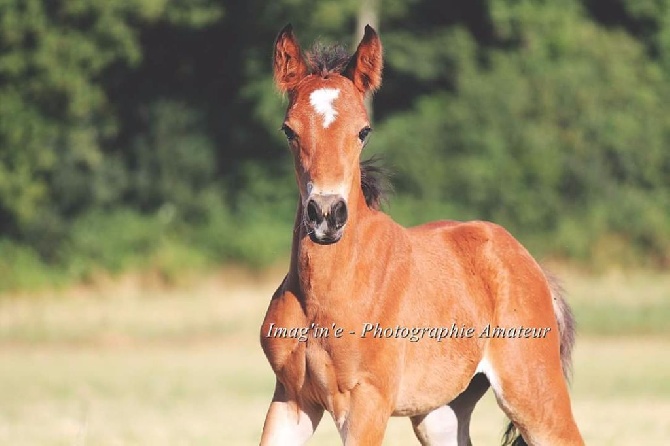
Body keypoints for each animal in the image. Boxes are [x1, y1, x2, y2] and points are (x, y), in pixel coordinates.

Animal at [260, 25, 584, 446]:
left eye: (363, 130)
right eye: (289, 130)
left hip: (533, 392)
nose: (326, 215)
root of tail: (532, 266)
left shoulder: (367, 403)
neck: (325, 295)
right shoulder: (291, 399)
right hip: (440, 412)